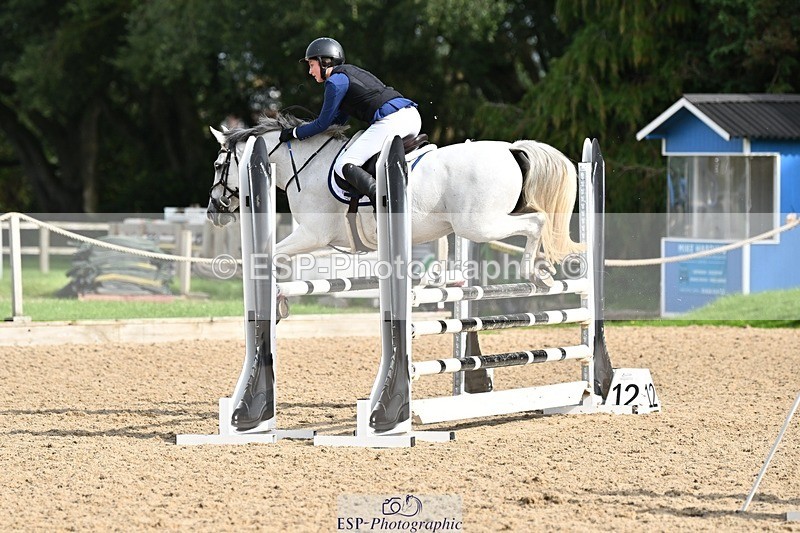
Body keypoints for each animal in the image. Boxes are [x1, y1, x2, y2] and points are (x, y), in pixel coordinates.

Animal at [206, 113, 582, 281]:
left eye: (217, 165)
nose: (214, 211)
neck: (306, 165)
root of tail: (510, 148)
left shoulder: (313, 234)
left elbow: (272, 254)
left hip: (479, 225)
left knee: (537, 221)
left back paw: (534, 272)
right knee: (536, 219)